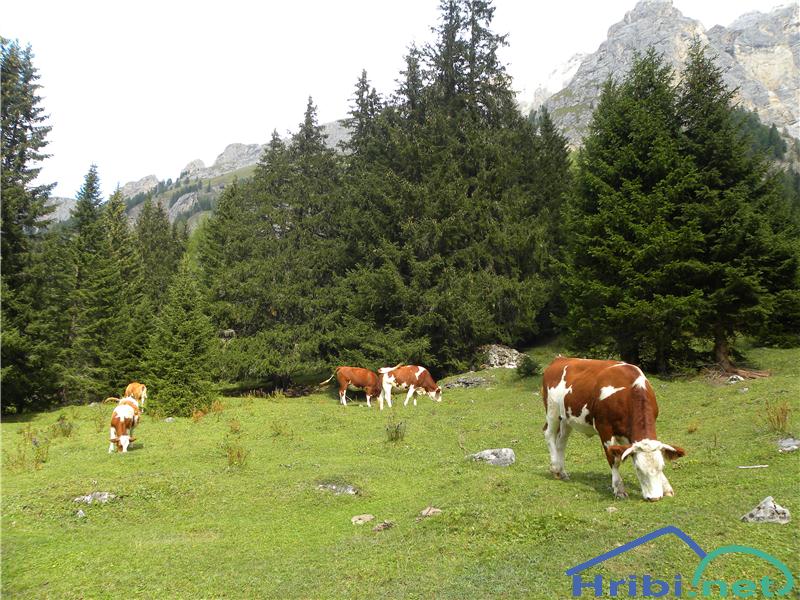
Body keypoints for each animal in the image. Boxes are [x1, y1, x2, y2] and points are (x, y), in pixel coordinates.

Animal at [541, 357, 685, 501]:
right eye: (638, 469)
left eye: (662, 467)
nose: (654, 498)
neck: (629, 392)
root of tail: (560, 358)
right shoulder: (604, 428)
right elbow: (614, 460)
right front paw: (619, 489)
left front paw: (666, 487)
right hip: (552, 411)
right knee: (548, 434)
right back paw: (555, 467)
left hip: (566, 418)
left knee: (561, 442)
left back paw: (562, 472)